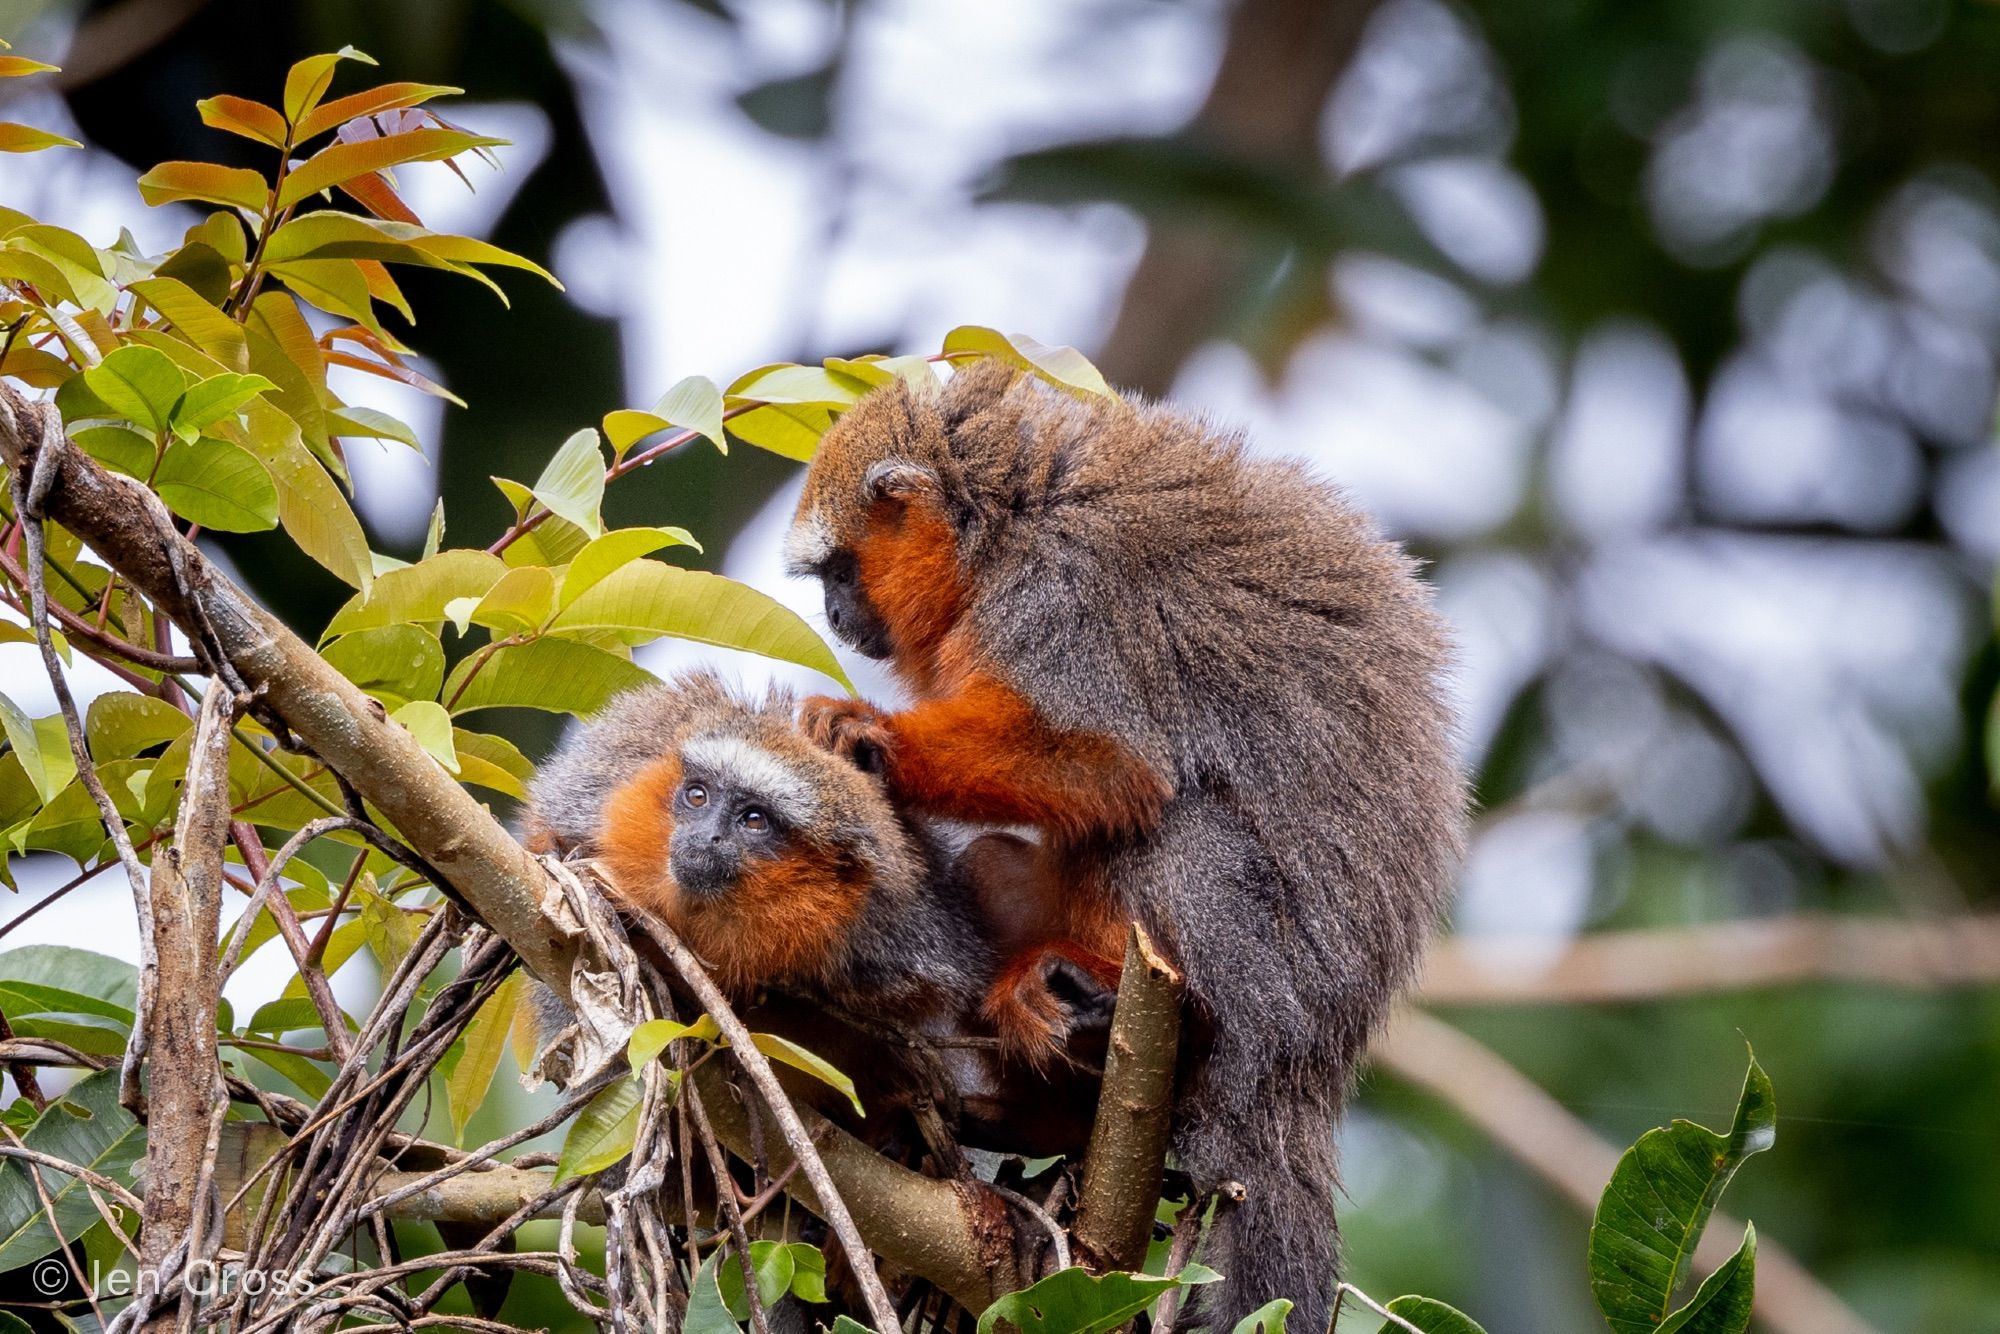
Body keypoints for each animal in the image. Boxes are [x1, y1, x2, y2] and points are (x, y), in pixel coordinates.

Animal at [784, 360, 1472, 1328]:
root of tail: (1310, 1062)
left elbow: (1113, 764)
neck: (1005, 523)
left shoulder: (1065, 597)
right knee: (1001, 863)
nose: (836, 614)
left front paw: (877, 741)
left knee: (1182, 829)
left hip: (1267, 986)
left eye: (840, 570)